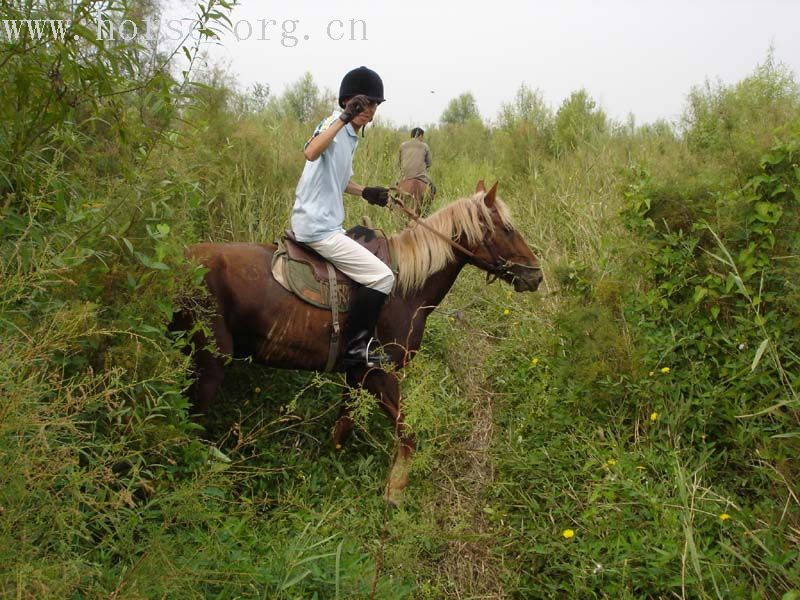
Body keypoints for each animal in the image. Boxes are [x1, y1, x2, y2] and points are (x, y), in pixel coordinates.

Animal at [175, 179, 544, 506]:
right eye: (506, 228)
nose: (535, 275)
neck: (404, 289)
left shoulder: (354, 374)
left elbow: (344, 423)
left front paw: (329, 458)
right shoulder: (377, 373)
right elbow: (408, 433)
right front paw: (395, 491)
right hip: (210, 364)